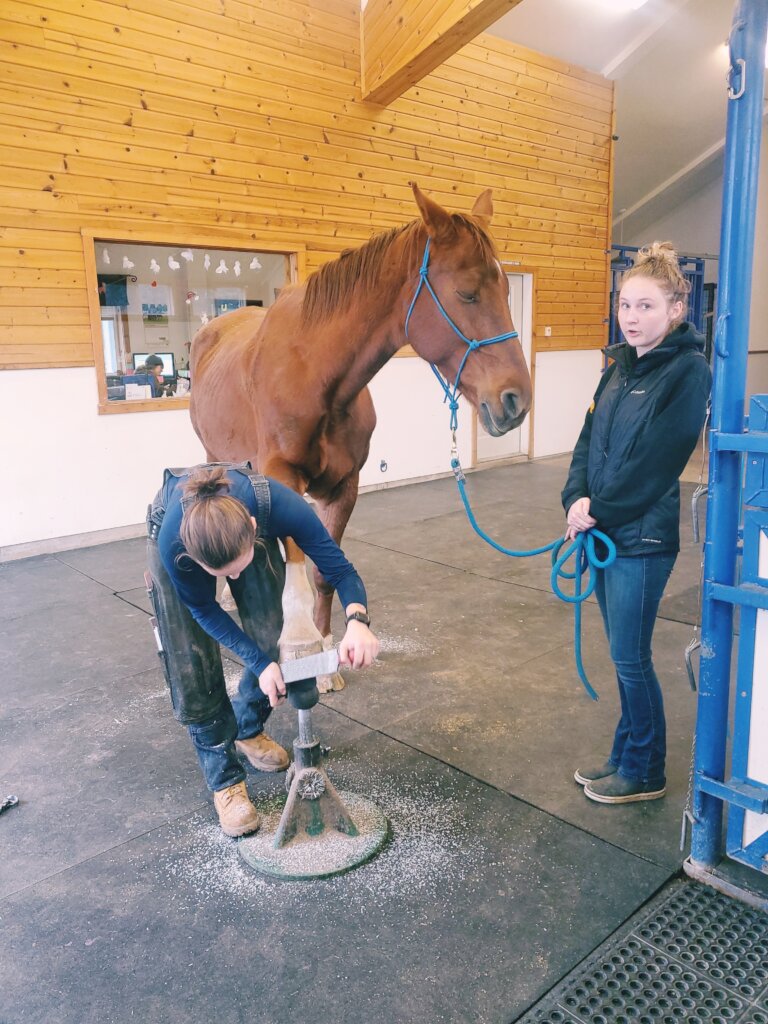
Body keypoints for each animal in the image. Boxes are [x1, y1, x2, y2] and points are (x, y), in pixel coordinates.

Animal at [189, 182, 532, 690]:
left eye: (508, 289)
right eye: (466, 293)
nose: (516, 400)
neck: (315, 372)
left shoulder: (345, 485)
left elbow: (324, 573)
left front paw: (328, 659)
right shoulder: (283, 475)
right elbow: (296, 566)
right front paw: (302, 648)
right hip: (218, 453)